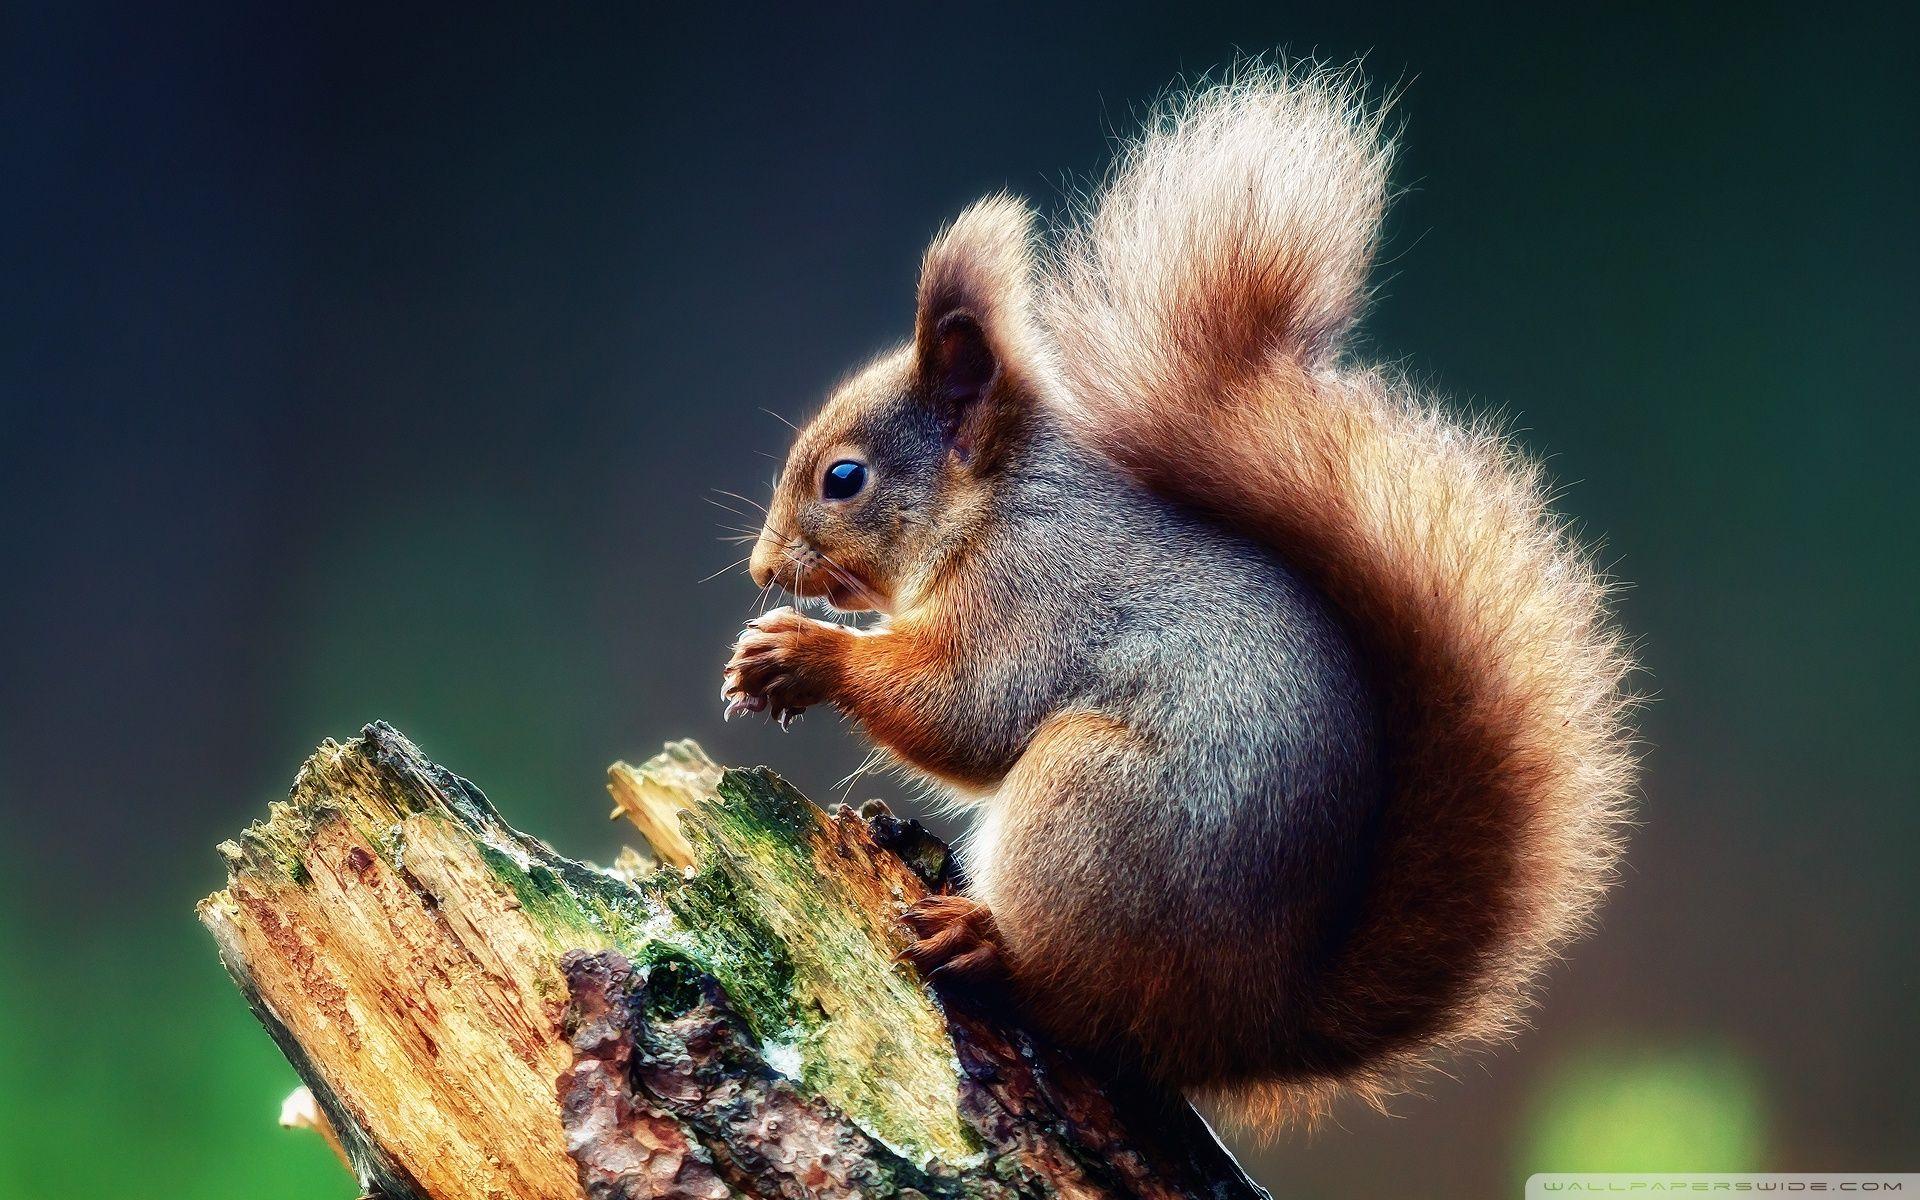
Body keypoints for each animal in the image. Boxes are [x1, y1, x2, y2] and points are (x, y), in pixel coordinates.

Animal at [720, 65, 1635, 1129]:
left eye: (845, 479)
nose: (762, 568)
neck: (996, 504)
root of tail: (1251, 1026)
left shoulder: (1036, 591)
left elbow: (970, 711)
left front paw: (797, 653)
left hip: (1093, 804)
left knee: (1077, 998)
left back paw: (985, 946)